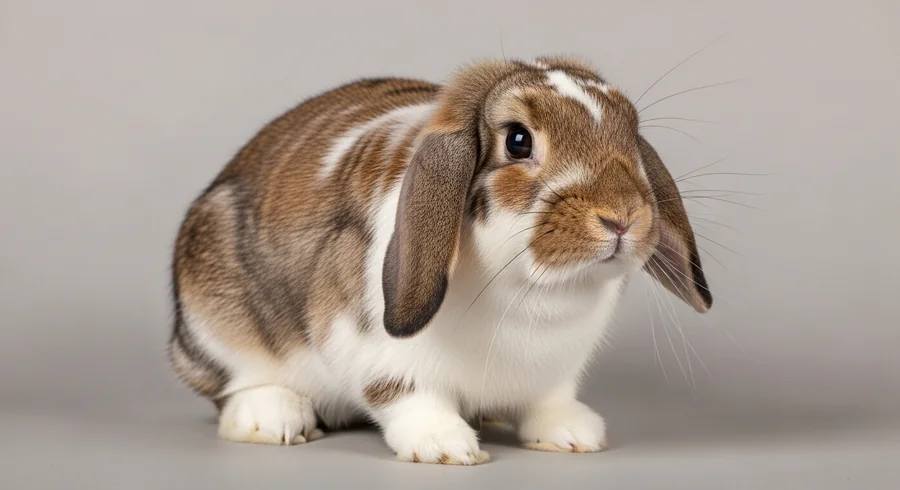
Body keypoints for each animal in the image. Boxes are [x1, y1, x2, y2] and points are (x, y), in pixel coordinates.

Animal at [167, 55, 713, 465]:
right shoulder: (373, 350)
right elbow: (405, 395)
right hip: (214, 320)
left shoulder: (556, 373)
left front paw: (574, 435)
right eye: (518, 140)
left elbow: (550, 401)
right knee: (233, 385)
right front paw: (445, 447)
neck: (534, 290)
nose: (621, 217)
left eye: (631, 136)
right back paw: (273, 418)